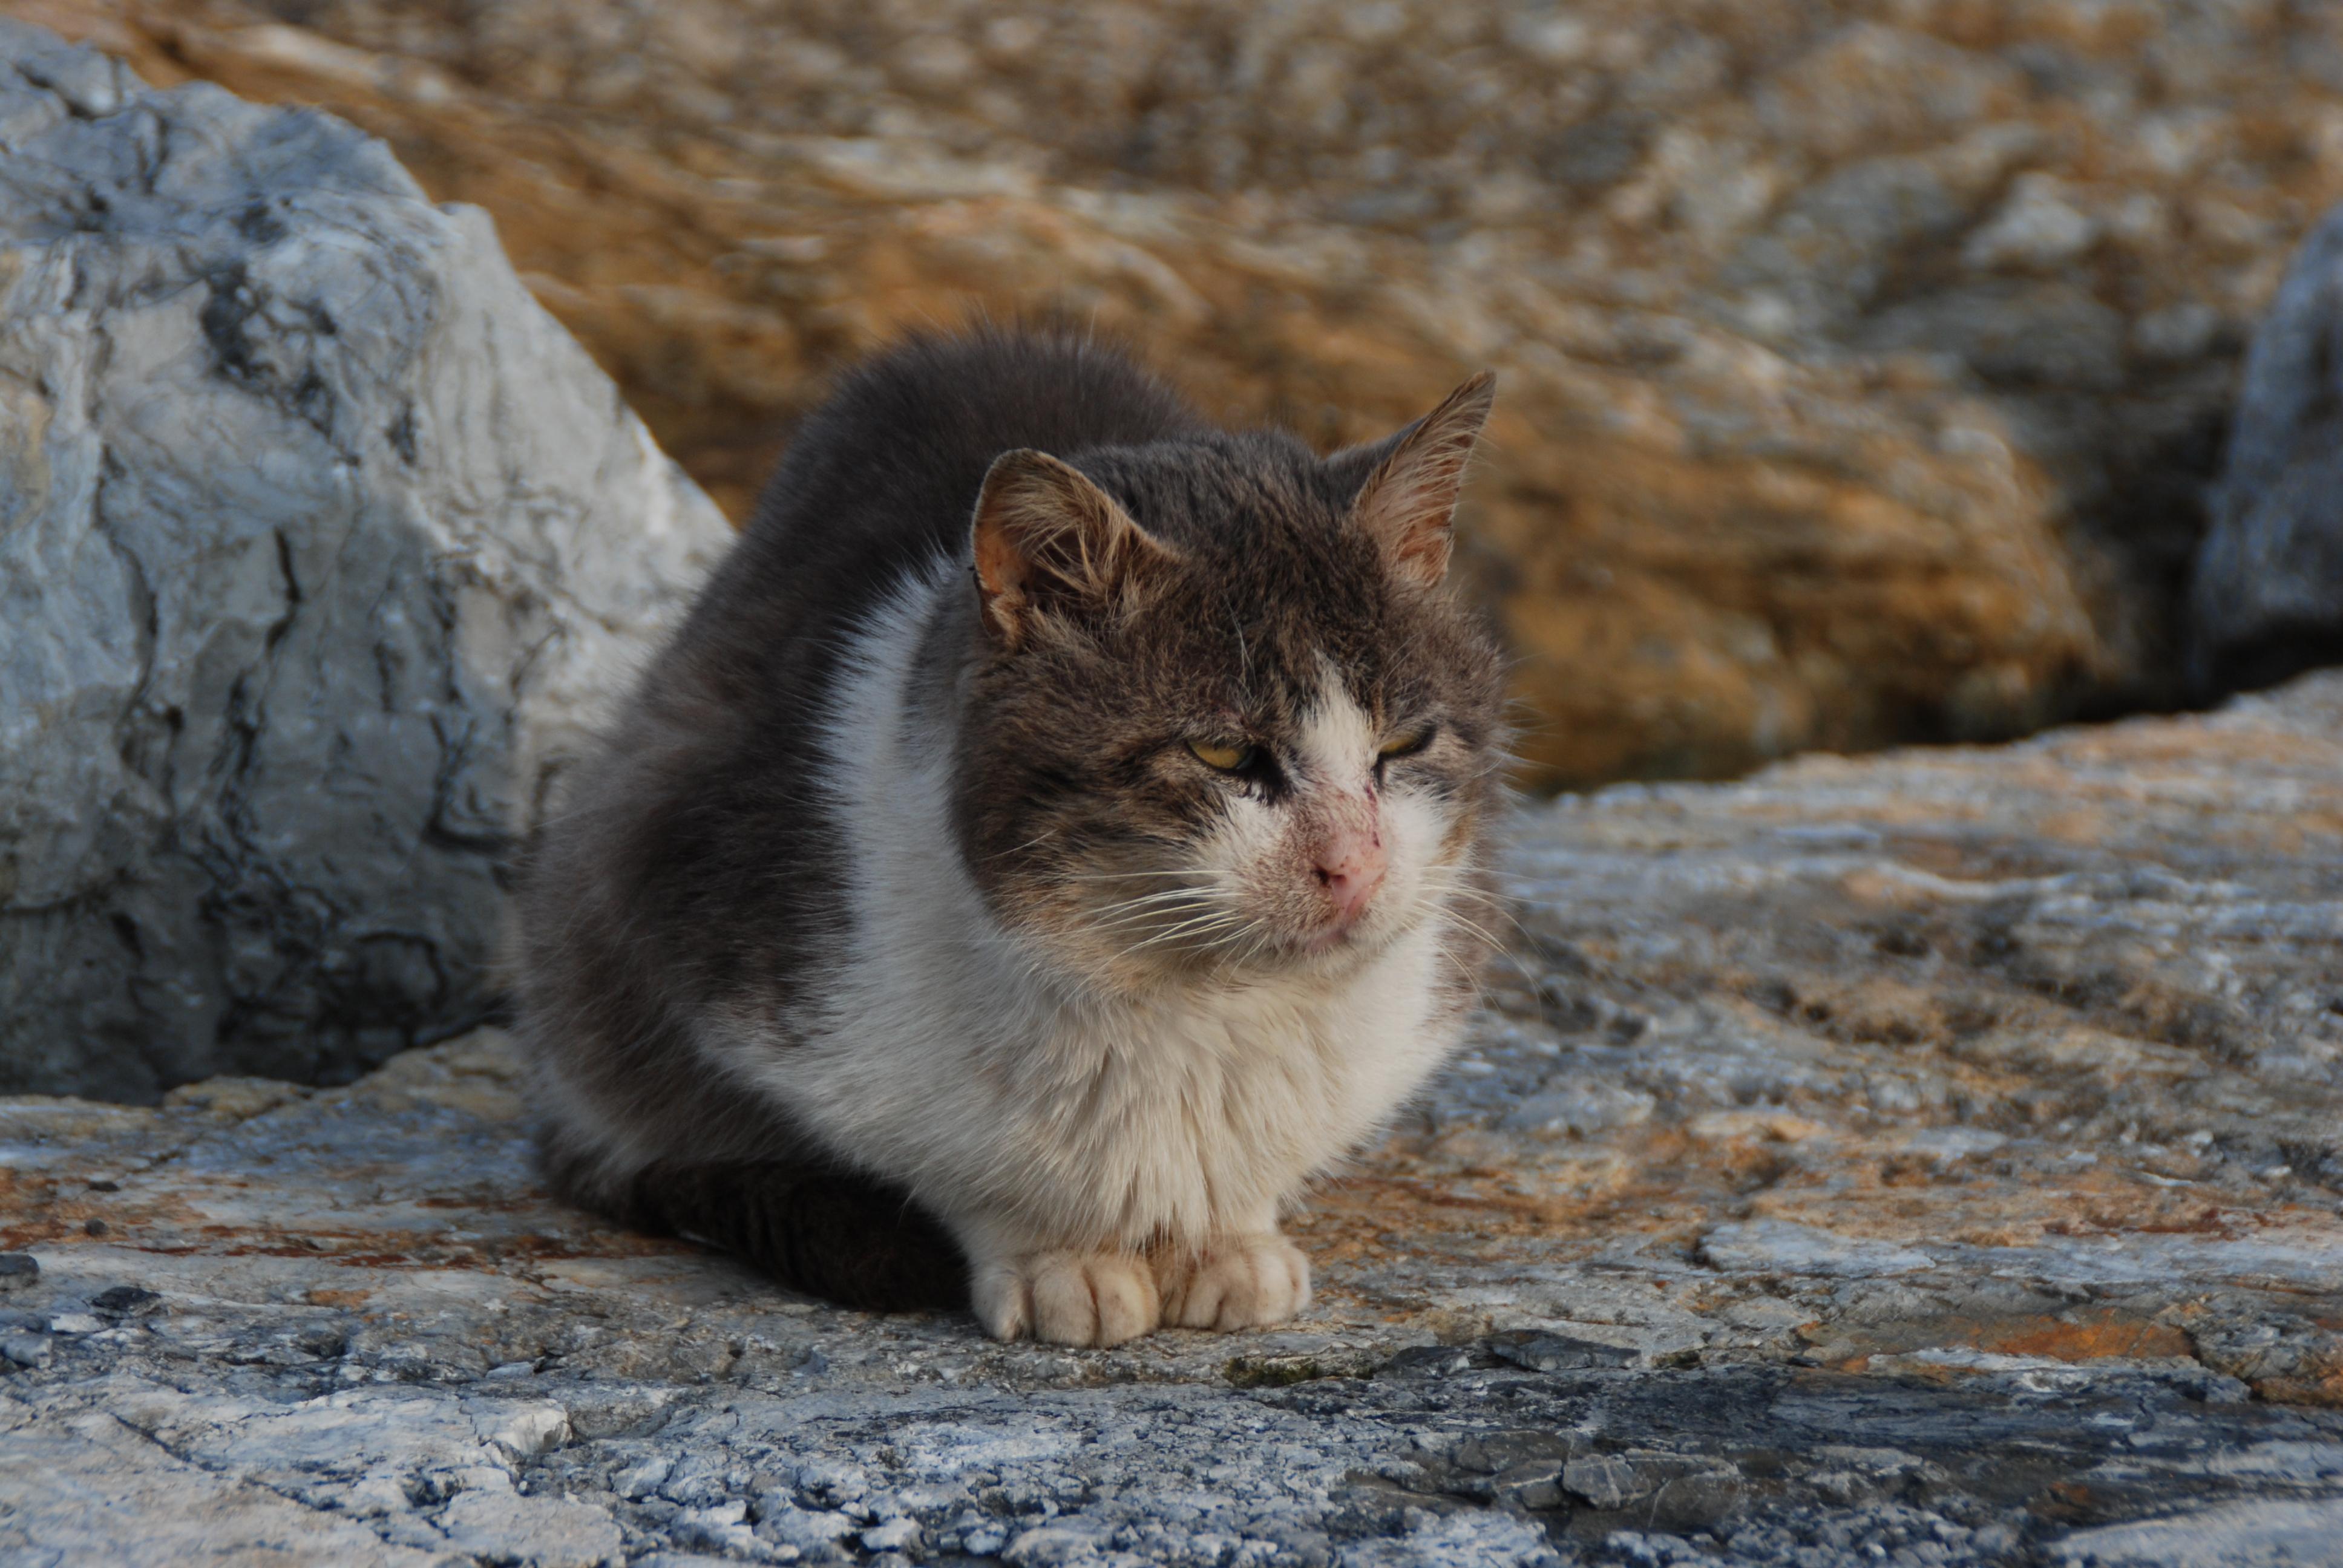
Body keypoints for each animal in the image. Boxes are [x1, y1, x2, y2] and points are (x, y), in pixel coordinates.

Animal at [511, 330, 1499, 1350]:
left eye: (1403, 743)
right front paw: (1064, 1263)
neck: (1195, 1008)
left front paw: (1229, 1244)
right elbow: (961, 1169)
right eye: (1224, 751)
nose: (1357, 867)